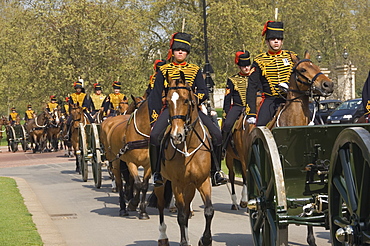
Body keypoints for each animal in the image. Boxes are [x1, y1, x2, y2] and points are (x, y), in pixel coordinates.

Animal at [153, 71, 212, 246]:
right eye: (168, 101)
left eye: (186, 100)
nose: (176, 135)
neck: (188, 147)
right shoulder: (177, 184)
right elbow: (180, 216)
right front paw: (184, 241)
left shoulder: (203, 180)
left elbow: (208, 210)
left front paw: (205, 240)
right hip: (162, 182)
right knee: (161, 206)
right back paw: (163, 237)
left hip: (190, 186)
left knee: (186, 208)